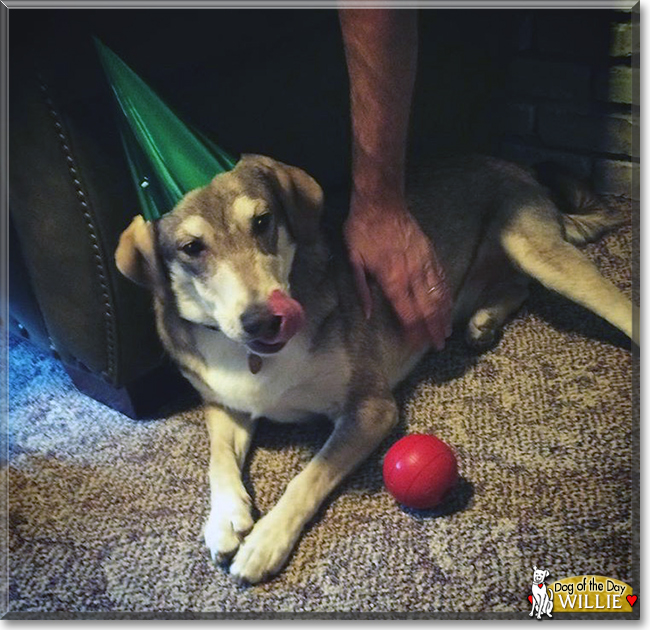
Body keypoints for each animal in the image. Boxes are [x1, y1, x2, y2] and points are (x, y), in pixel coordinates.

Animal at [114, 156, 636, 584]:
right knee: (517, 288)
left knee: (605, 302)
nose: (264, 319)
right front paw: (224, 519)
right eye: (191, 248)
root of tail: (515, 165)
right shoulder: (224, 403)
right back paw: (483, 322)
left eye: (262, 222)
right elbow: (217, 460)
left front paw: (264, 542)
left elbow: (309, 475)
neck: (257, 359)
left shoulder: (370, 409)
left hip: (537, 249)